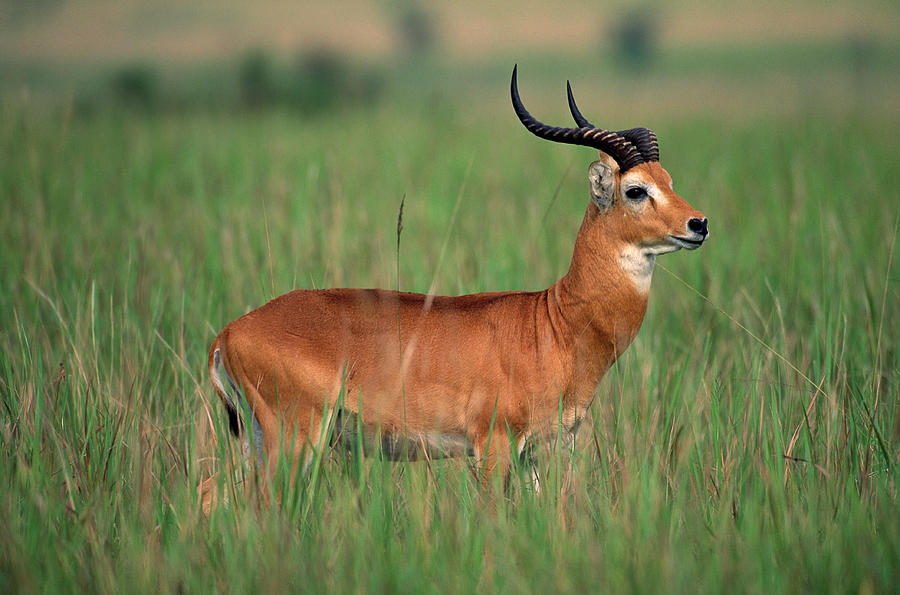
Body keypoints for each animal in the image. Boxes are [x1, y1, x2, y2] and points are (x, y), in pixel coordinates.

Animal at [204, 64, 712, 502]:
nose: (699, 224)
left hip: (257, 439)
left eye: (668, 179)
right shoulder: (493, 445)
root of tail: (229, 332)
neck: (556, 323)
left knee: (212, 491)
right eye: (636, 190)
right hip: (293, 437)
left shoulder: (536, 455)